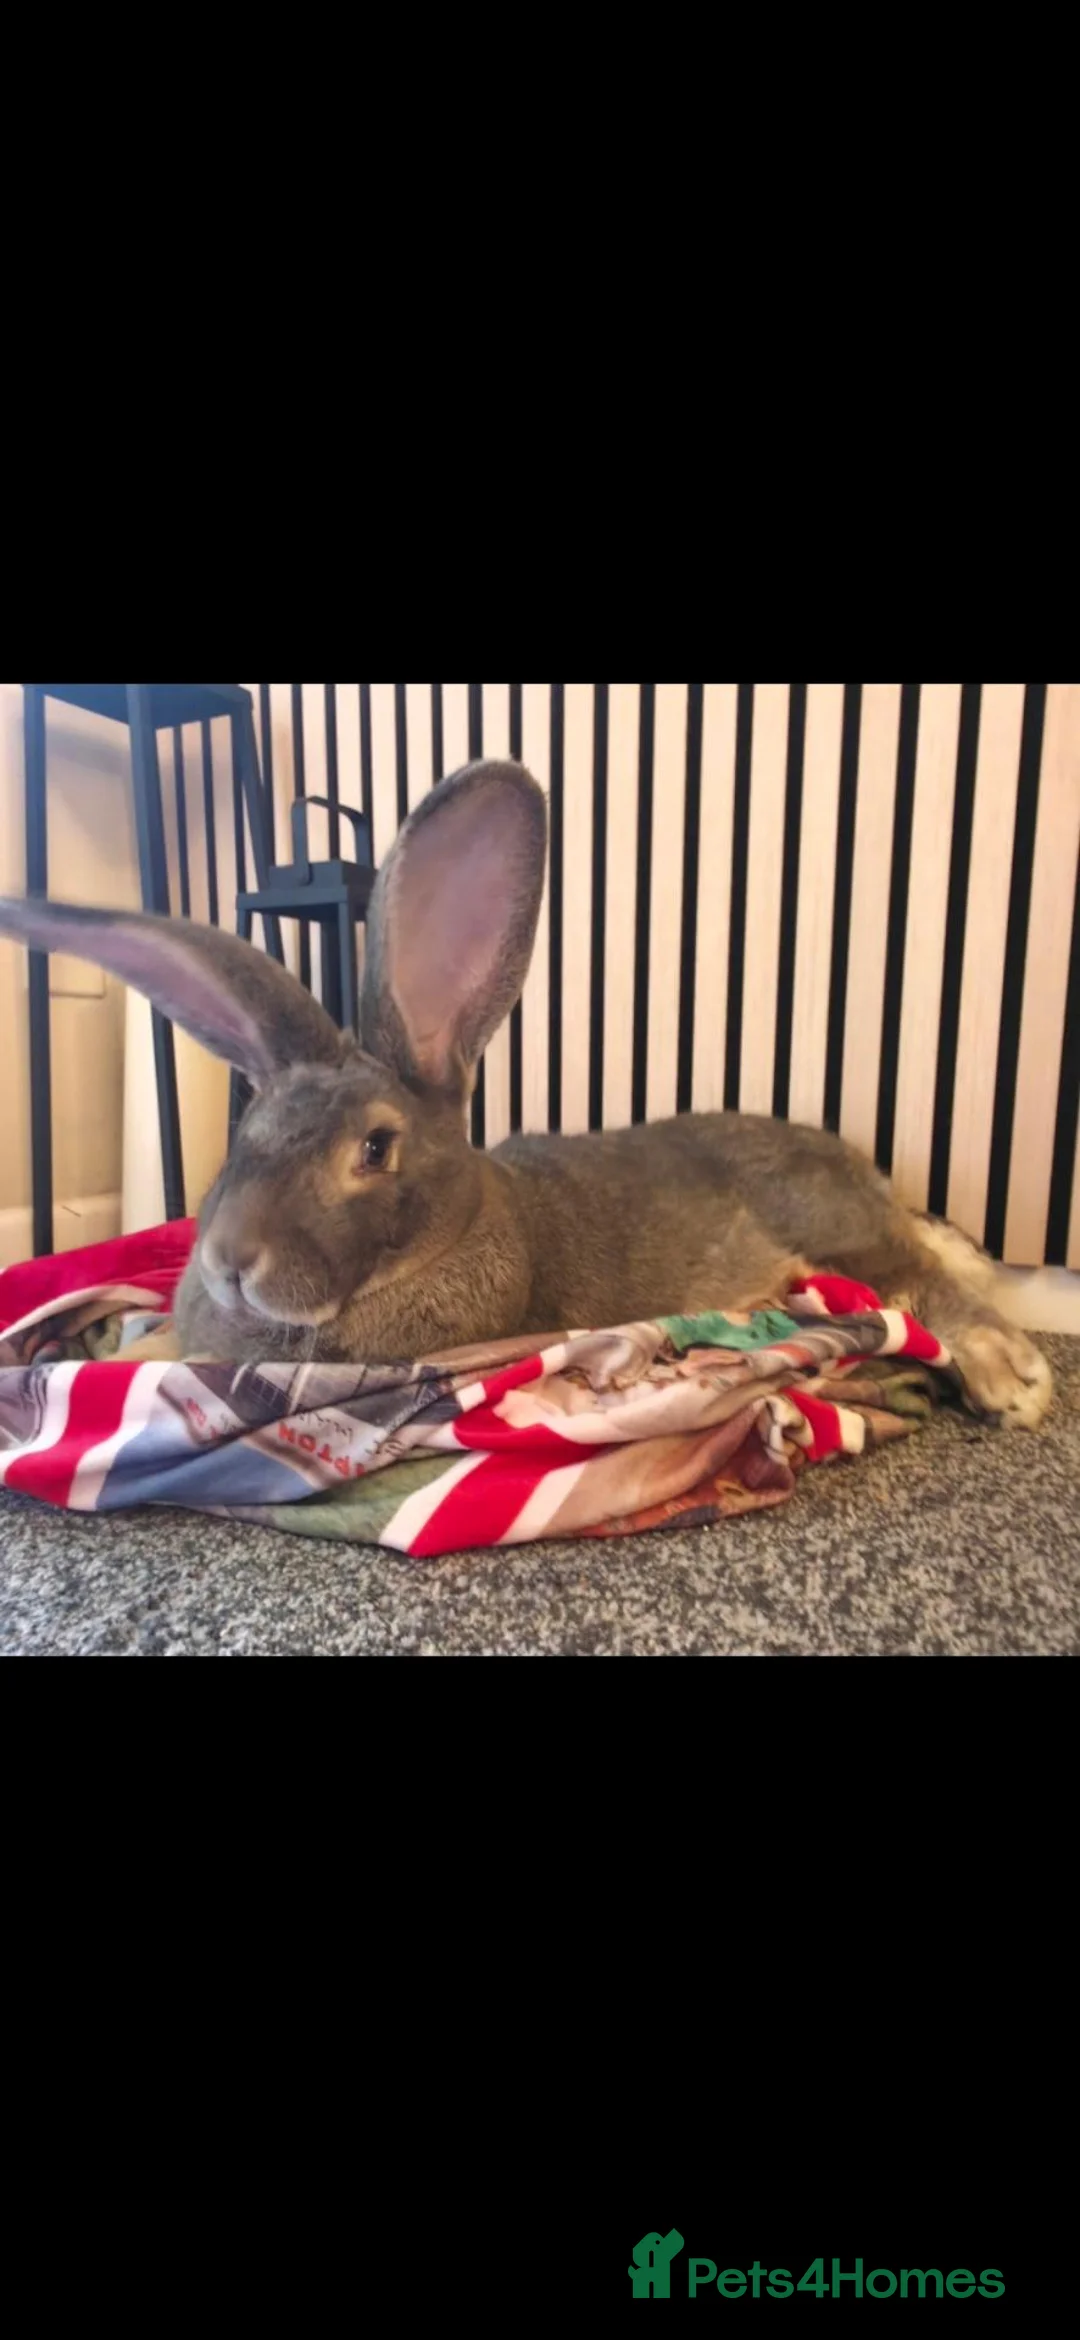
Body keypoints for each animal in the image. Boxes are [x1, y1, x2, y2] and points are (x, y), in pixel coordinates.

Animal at [0, 759, 1052, 1427]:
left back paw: (1013, 1377)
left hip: (836, 1230)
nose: (228, 1262)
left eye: (374, 1148)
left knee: (923, 1285)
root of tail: (872, 1177)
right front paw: (96, 1359)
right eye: (248, 1126)